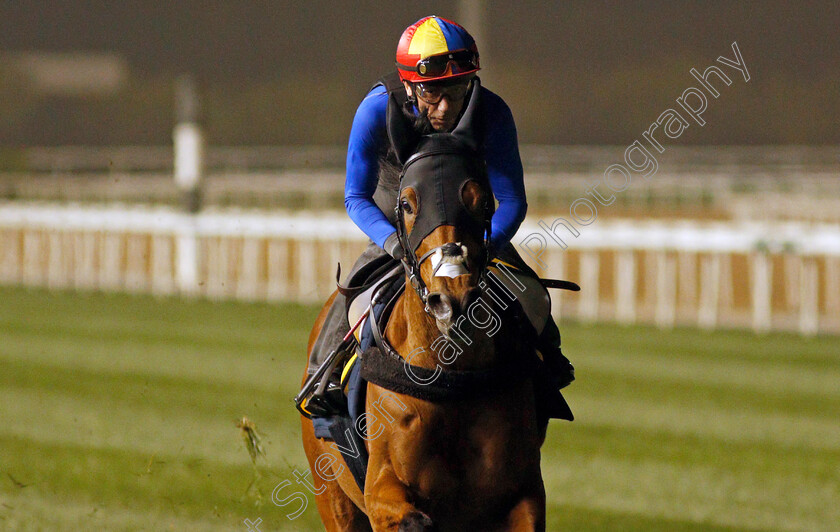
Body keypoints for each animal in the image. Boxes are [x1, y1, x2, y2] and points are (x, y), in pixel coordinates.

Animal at [302, 81, 552, 528]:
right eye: (406, 204)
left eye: (483, 202)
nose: (451, 299)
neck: (451, 376)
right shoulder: (381, 488)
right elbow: (412, 516)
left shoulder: (522, 492)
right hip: (333, 495)